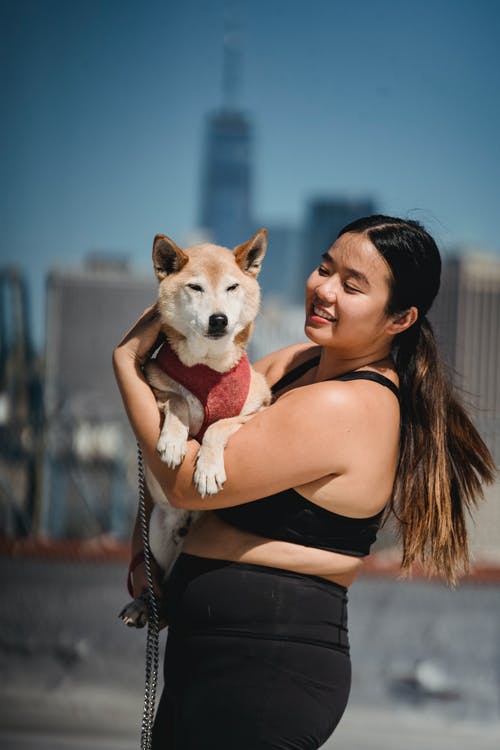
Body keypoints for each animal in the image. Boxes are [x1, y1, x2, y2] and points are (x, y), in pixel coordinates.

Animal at [120, 229, 270, 628]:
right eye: (196, 287)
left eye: (232, 287)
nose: (218, 319)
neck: (208, 367)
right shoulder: (157, 388)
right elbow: (176, 401)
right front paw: (173, 442)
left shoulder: (257, 409)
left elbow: (218, 427)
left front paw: (207, 470)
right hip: (157, 529)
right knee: (159, 582)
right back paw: (144, 603)